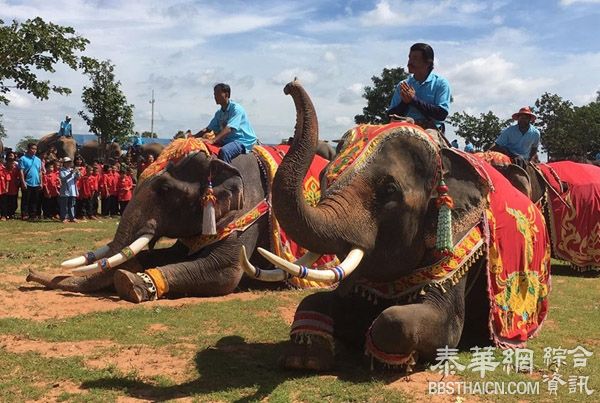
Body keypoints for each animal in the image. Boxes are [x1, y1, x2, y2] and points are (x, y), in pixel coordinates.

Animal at [27, 137, 332, 302]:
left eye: (164, 190)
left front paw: (129, 282)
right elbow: (172, 255)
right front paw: (128, 269)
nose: (29, 273)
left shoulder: (251, 213)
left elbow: (222, 272)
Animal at [251, 82, 552, 372]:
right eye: (325, 176)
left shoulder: (462, 246)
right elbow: (317, 302)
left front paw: (391, 357)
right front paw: (304, 359)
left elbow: (426, 325)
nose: (289, 86)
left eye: (389, 190)